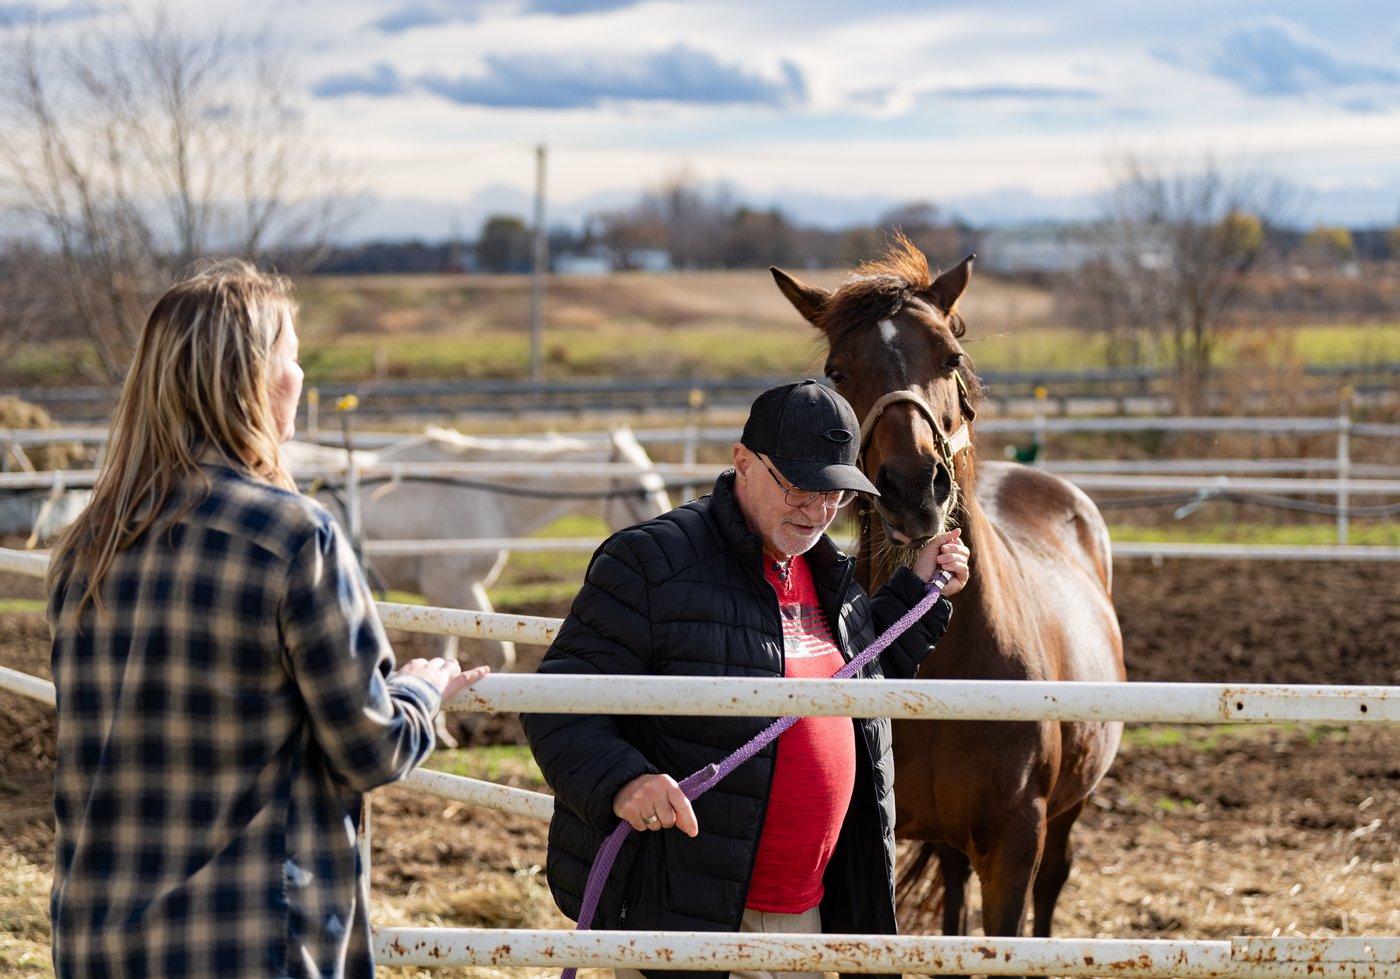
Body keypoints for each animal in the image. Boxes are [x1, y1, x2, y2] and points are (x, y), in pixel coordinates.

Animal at [771, 236, 1125, 962]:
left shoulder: (1015, 844)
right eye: (837, 370)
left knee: (1054, 884)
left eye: (951, 357)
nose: (914, 488)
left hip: (1067, 811)